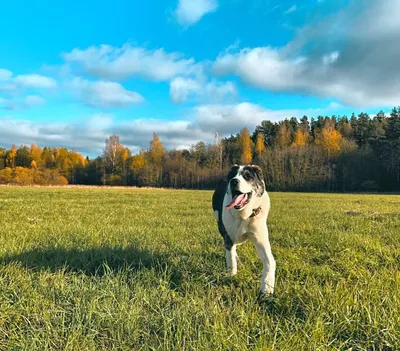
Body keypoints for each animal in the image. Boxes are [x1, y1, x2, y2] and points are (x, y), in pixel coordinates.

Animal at [212, 164, 276, 294]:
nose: (233, 181)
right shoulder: (228, 238)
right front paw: (232, 276)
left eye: (247, 176)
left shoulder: (261, 240)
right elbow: (231, 259)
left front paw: (267, 287)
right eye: (233, 175)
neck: (245, 215)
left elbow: (270, 261)